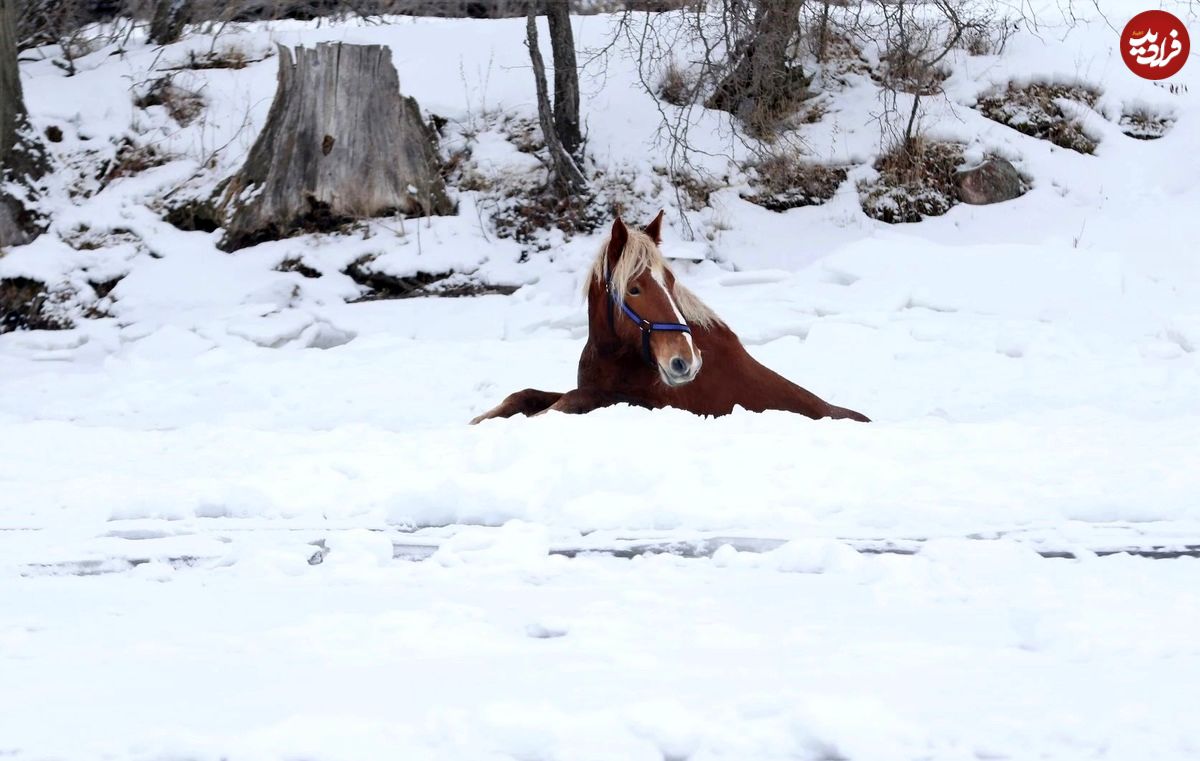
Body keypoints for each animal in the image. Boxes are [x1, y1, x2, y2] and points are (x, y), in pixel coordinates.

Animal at [470, 210, 873, 424]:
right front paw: (480, 419)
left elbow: (568, 401)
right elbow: (525, 395)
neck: (618, 358)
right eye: (634, 289)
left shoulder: (636, 402)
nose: (686, 362)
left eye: (671, 281)